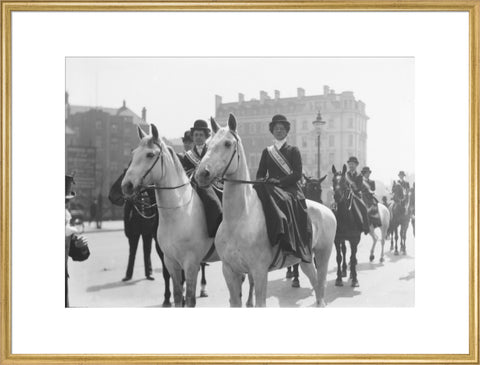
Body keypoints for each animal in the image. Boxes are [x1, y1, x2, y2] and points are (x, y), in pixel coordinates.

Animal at [120, 123, 219, 306]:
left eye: (150, 154)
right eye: (133, 153)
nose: (126, 185)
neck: (178, 213)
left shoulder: (191, 263)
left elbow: (190, 299)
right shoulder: (170, 261)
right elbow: (178, 295)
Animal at [197, 114, 336, 308]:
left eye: (227, 143)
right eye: (208, 144)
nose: (202, 174)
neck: (238, 220)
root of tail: (327, 210)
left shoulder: (259, 271)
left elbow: (260, 302)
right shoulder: (229, 271)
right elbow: (235, 301)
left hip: (323, 254)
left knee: (321, 285)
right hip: (306, 259)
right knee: (316, 283)